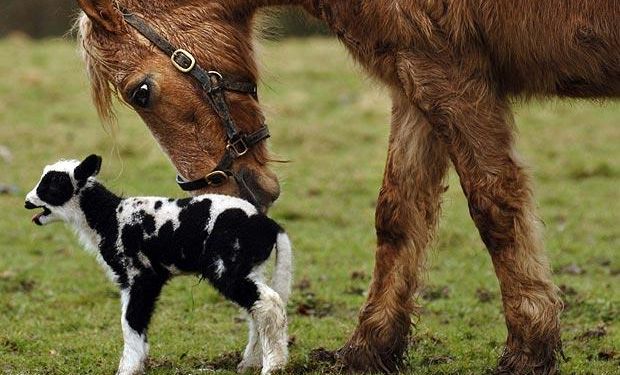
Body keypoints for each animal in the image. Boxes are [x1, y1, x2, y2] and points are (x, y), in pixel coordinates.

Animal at [25, 156, 292, 375]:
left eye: (53, 185)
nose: (27, 202)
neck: (109, 218)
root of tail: (268, 225)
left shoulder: (140, 275)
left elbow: (130, 320)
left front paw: (128, 369)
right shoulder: (140, 279)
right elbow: (136, 320)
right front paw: (139, 362)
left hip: (227, 267)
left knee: (268, 303)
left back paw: (273, 366)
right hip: (250, 266)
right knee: (258, 308)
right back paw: (251, 362)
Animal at [75, 1, 616, 374]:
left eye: (141, 92)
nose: (221, 190)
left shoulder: (449, 75)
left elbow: (494, 204)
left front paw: (530, 346)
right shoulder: (414, 80)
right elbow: (398, 214)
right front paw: (371, 346)